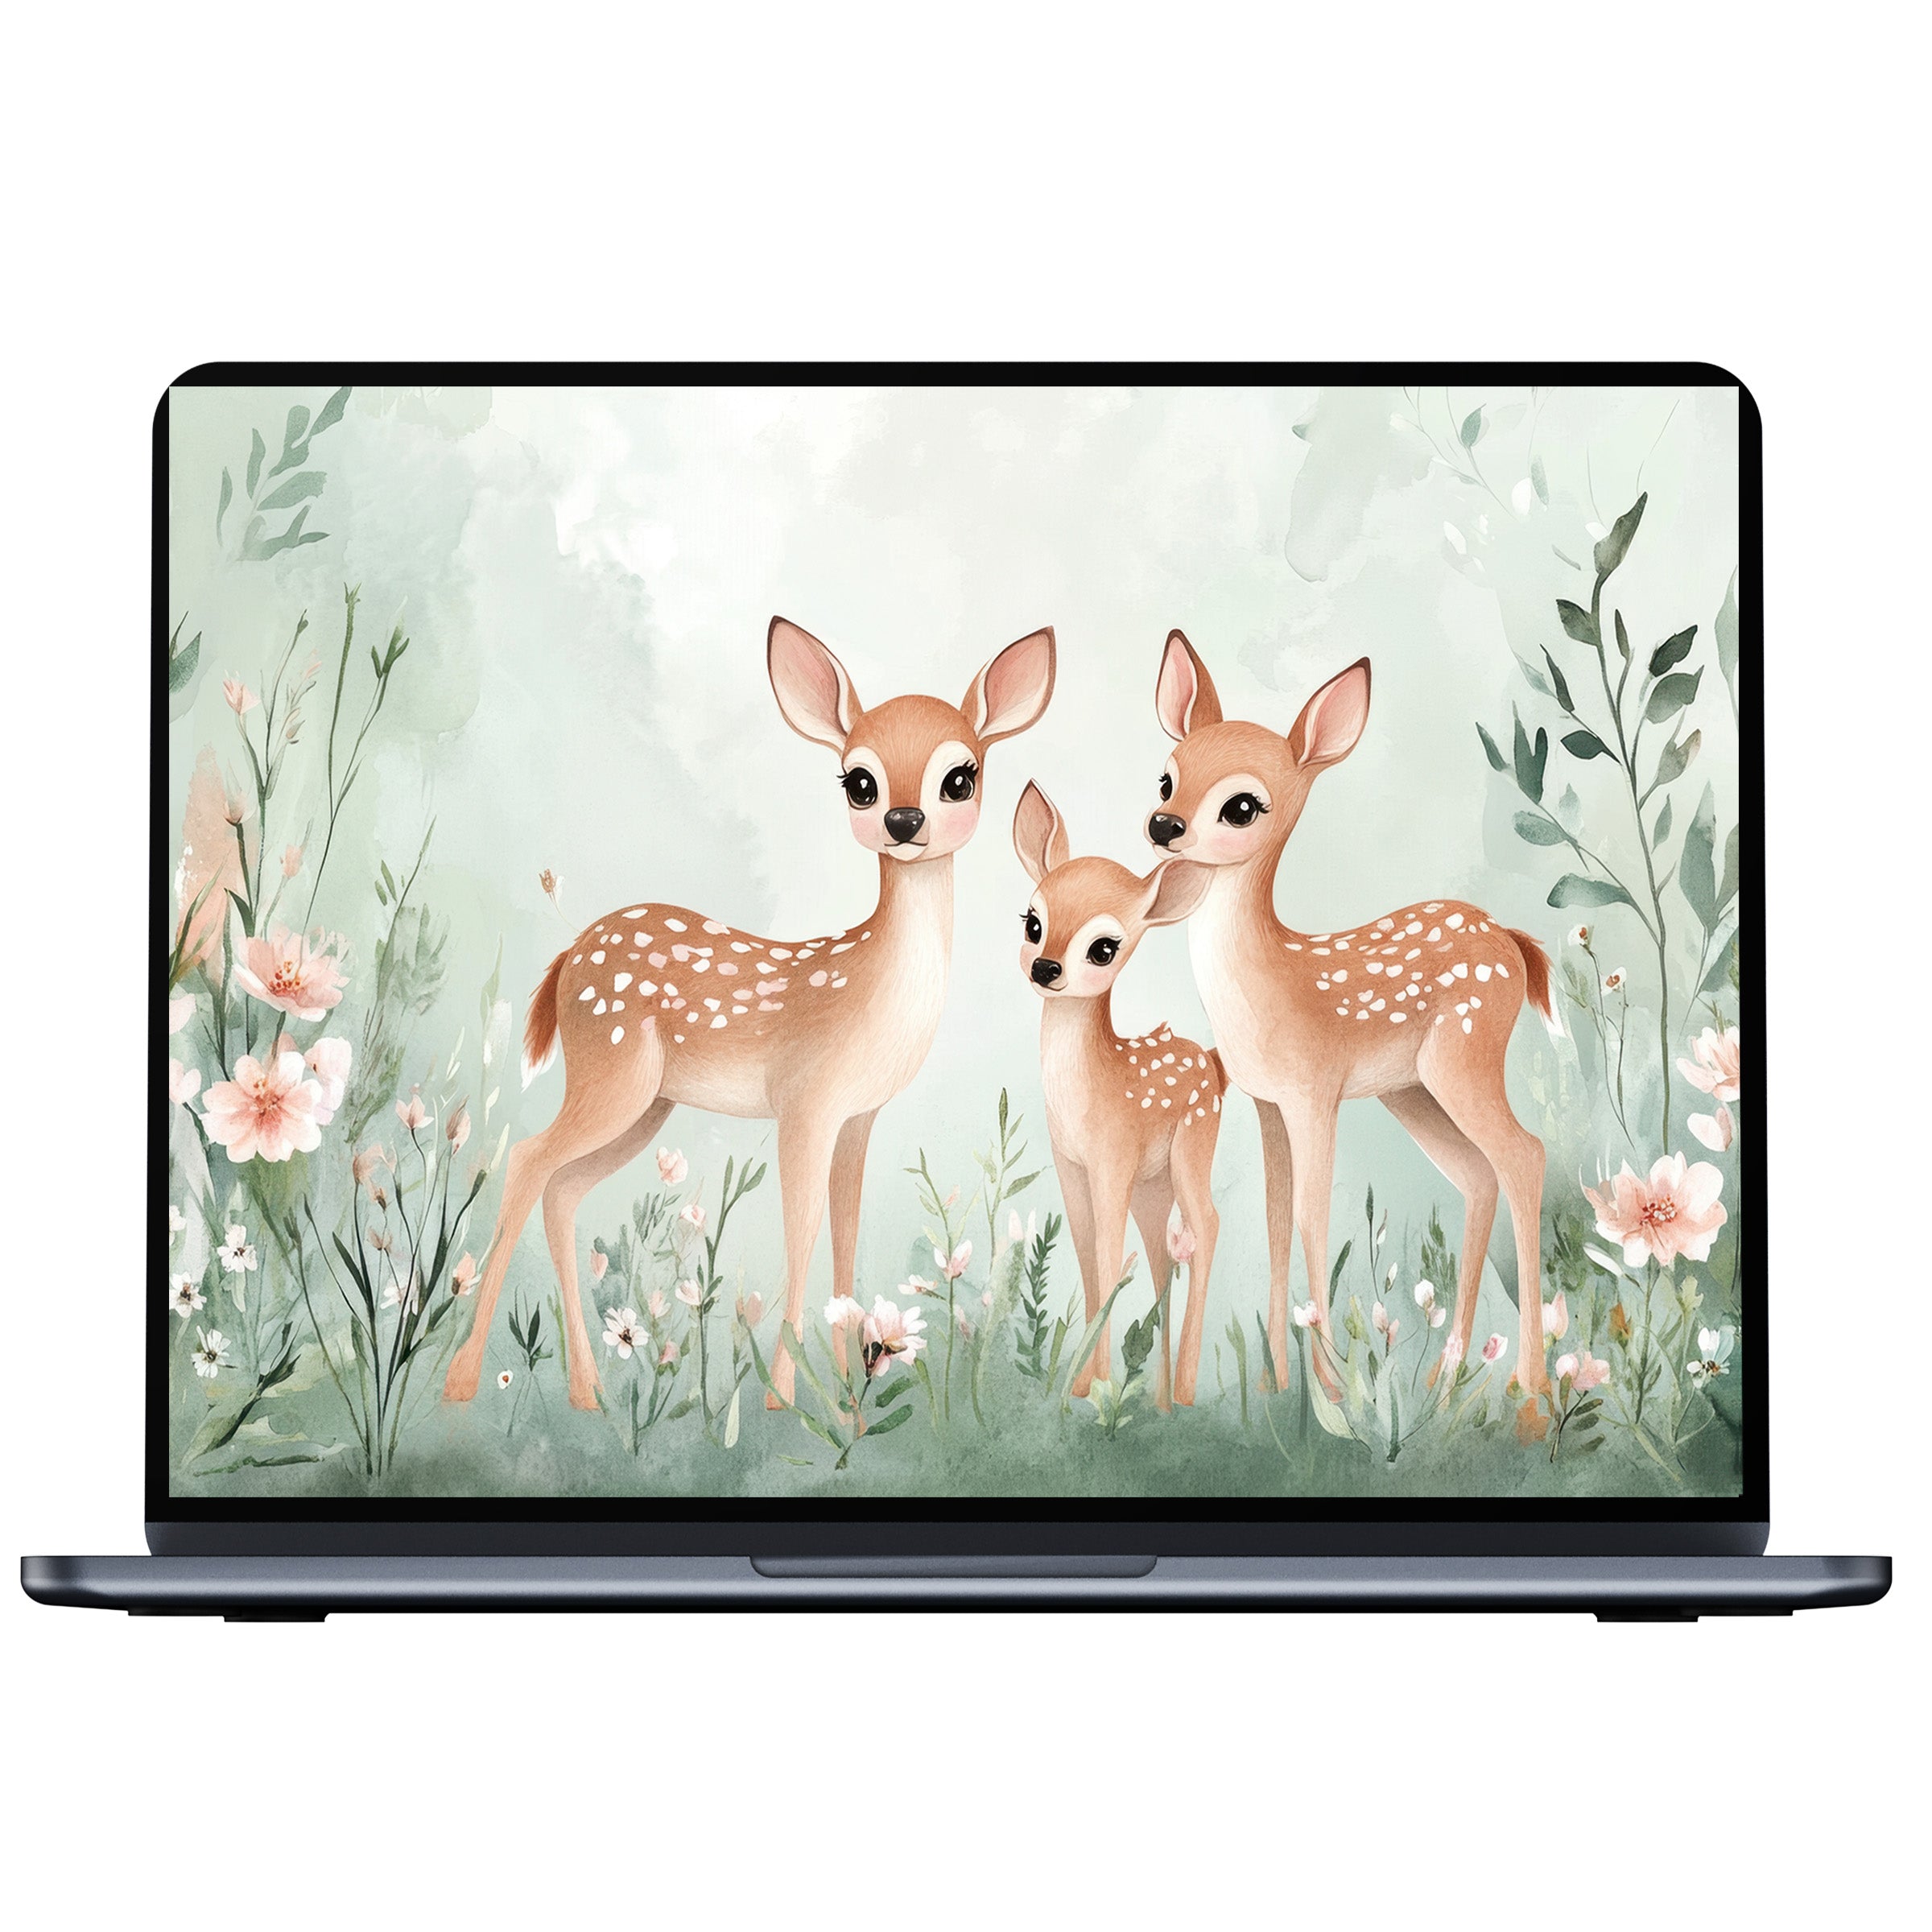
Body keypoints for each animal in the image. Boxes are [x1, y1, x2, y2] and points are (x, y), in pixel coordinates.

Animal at [443, 616, 1056, 1412]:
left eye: (962, 776)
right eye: (859, 781)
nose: (904, 819)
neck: (873, 991)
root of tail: (571, 955)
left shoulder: (859, 1116)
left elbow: (846, 1230)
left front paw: (850, 1393)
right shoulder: (805, 1100)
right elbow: (801, 1230)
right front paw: (784, 1398)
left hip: (645, 1104)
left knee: (563, 1190)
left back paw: (586, 1391)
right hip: (612, 1072)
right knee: (525, 1161)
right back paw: (462, 1380)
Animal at [1012, 781, 1223, 1410]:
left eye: (1104, 948)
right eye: (1032, 921)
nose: (1046, 967)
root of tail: (1215, 1066)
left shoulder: (1111, 1158)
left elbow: (1108, 1261)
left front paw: (1096, 1386)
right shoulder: (1071, 1164)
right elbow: (1087, 1257)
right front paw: (1082, 1387)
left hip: (1191, 1148)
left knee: (1207, 1225)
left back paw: (1184, 1392)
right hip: (1153, 1185)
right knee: (1161, 1254)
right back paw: (1158, 1401)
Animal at [1145, 631, 1558, 1402]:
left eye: (1242, 806)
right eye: (1166, 780)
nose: (1163, 825)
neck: (1268, 980)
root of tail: (1512, 942)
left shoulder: (1315, 1090)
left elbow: (1313, 1217)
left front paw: (1332, 1389)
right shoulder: (1266, 1101)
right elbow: (1276, 1221)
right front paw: (1278, 1385)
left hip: (1464, 1054)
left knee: (1525, 1154)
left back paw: (1531, 1393)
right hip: (1412, 1090)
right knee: (1477, 1175)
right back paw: (1449, 1376)